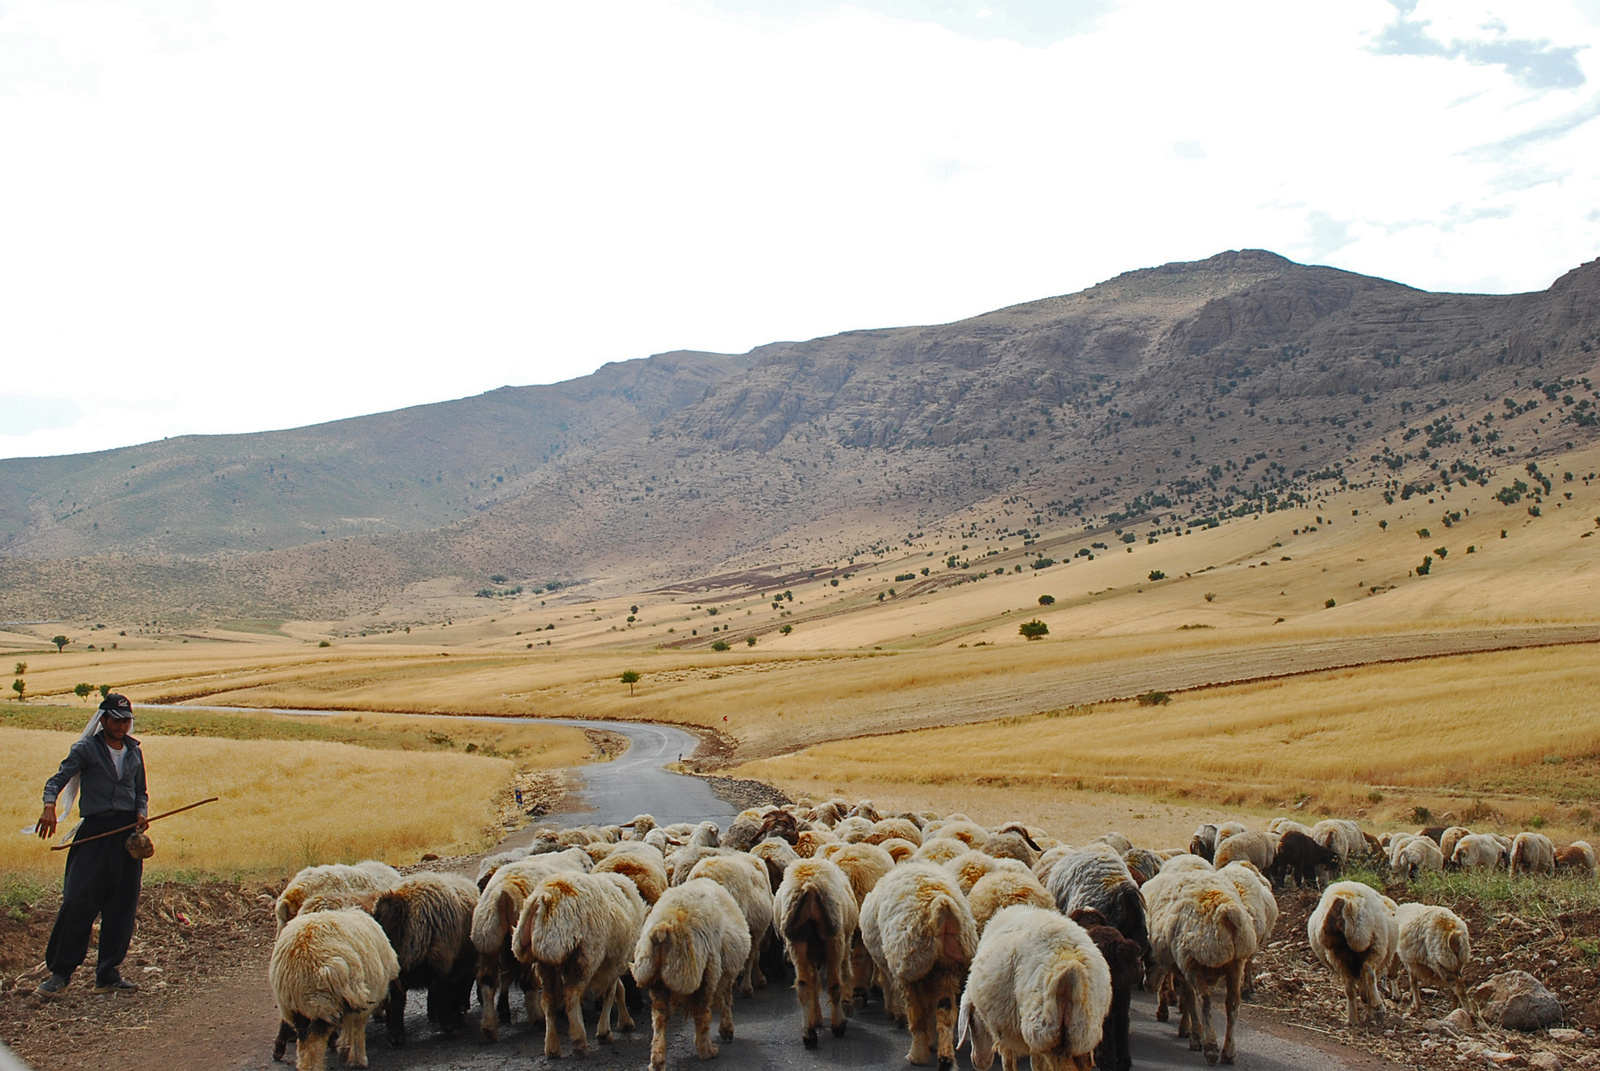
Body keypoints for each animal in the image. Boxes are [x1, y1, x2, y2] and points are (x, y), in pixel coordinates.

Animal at [267, 902, 395, 1069]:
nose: (384, 1013)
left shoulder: (351, 998)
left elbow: (349, 1024)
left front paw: (345, 1048)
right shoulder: (362, 998)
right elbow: (357, 1027)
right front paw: (357, 1059)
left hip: (299, 1007)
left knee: (303, 1043)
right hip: (323, 1003)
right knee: (314, 1044)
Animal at [630, 877, 748, 1069]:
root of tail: (665, 927)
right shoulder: (725, 974)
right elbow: (725, 999)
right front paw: (726, 1030)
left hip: (656, 976)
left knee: (659, 1017)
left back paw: (657, 1061)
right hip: (705, 970)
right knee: (702, 1012)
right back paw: (707, 1051)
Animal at [774, 858, 864, 1050]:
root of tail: (810, 886)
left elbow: (814, 982)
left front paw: (816, 1019)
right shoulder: (845, 941)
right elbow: (845, 974)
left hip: (797, 940)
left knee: (803, 986)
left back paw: (809, 1034)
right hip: (834, 938)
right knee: (835, 984)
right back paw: (838, 1026)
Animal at [953, 909, 1107, 1071]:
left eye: (972, 1021)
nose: (977, 1062)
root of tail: (1071, 968)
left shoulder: (1003, 1029)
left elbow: (1010, 1061)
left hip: (1043, 1030)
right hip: (1082, 1031)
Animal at [1305, 877, 1395, 1024]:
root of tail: (1345, 902)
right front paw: (1371, 1010)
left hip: (1335, 953)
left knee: (1349, 987)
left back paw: (1352, 1018)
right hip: (1375, 942)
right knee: (1368, 970)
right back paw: (1377, 1008)